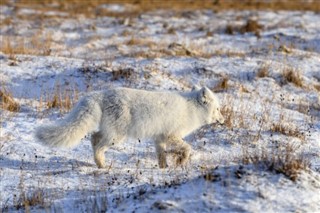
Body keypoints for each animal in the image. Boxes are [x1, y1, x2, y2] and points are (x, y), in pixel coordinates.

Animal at [35, 86, 225, 168]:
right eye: (218, 109)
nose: (223, 121)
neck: (191, 108)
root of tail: (99, 94)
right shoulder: (171, 135)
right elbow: (187, 148)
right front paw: (180, 161)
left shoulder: (160, 138)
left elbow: (161, 155)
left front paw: (164, 168)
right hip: (117, 136)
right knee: (97, 143)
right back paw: (102, 165)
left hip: (111, 133)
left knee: (94, 138)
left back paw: (99, 164)